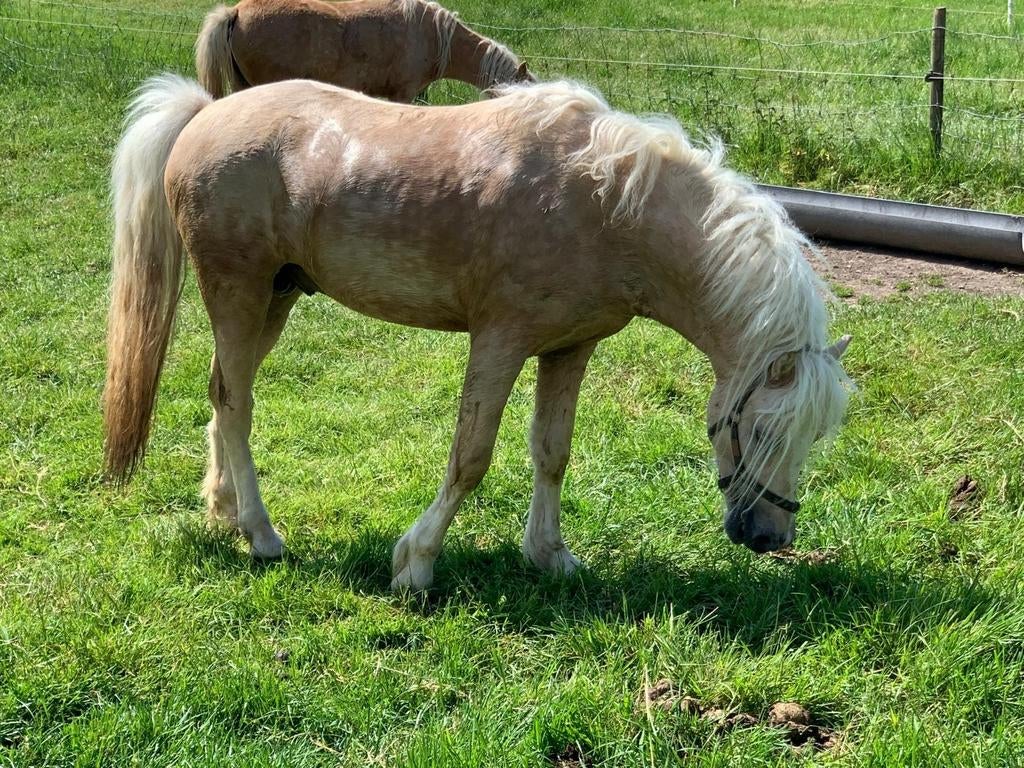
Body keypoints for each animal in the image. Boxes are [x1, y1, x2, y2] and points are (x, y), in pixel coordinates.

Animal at [103, 74, 852, 591]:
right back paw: (261, 534)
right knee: (236, 403)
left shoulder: (569, 349)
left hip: (275, 299)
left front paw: (550, 555)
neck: (611, 205)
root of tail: (206, 111)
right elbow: (471, 457)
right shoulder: (500, 341)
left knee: (221, 396)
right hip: (238, 292)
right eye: (763, 428)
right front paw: (415, 563)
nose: (771, 537)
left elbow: (552, 452)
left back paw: (225, 510)